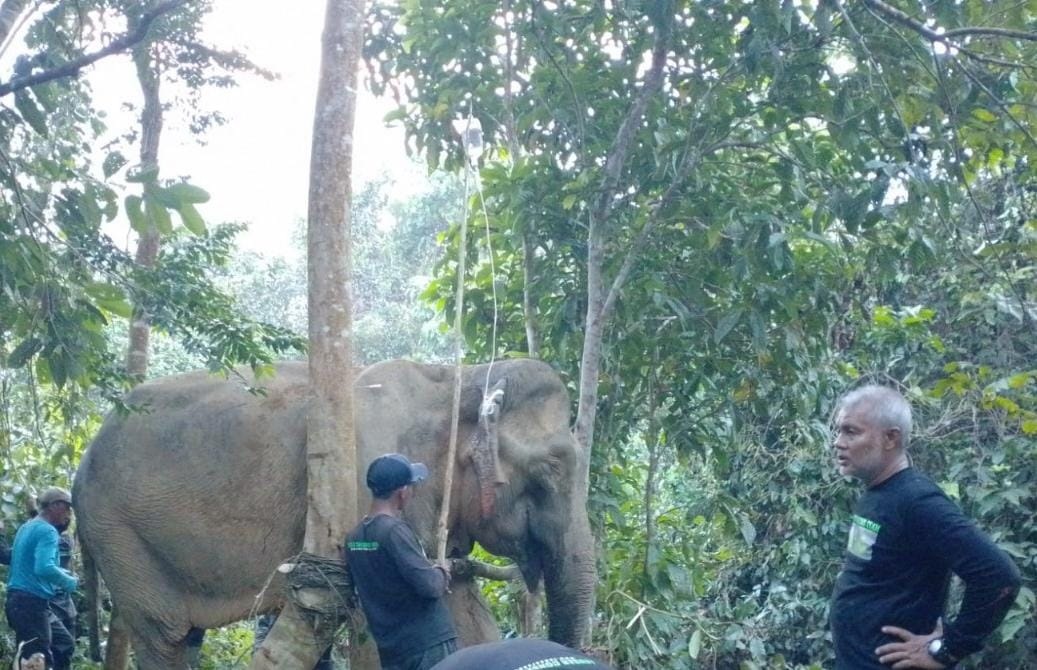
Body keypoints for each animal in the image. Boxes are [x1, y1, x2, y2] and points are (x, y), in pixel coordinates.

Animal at [73, 363, 597, 670]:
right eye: (549, 471)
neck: (456, 379)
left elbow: (461, 610)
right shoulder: (362, 475)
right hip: (118, 532)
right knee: (164, 635)